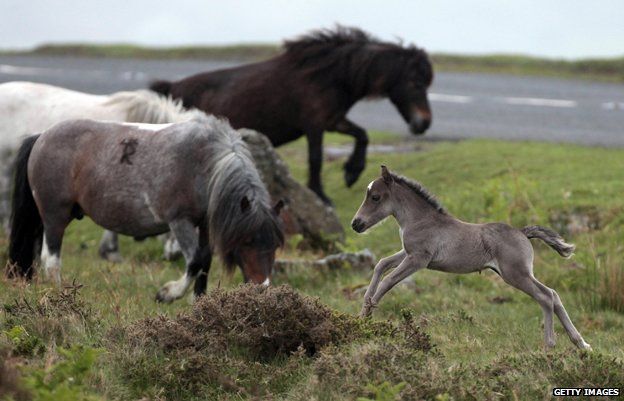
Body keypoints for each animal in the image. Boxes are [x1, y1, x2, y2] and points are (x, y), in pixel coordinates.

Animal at [7, 115, 282, 300]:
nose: (263, 287)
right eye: (247, 240)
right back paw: (62, 297)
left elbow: (205, 263)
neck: (204, 163)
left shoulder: (204, 224)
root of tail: (41, 137)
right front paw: (168, 293)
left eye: (275, 245)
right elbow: (194, 262)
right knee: (51, 260)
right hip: (55, 216)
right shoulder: (179, 221)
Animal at [151, 26, 434, 205]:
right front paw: (321, 195)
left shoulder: (333, 120)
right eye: (416, 82)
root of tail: (172, 89)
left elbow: (361, 135)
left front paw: (351, 172)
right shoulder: (315, 126)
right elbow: (316, 158)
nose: (424, 123)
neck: (329, 75)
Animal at [354, 164, 592, 348]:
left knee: (545, 296)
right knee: (554, 294)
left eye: (375, 197)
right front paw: (364, 310)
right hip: (521, 274)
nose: (356, 224)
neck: (420, 219)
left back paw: (550, 345)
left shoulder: (418, 259)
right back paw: (582, 344)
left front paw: (367, 318)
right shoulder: (407, 252)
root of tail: (522, 232)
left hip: (516, 274)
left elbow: (388, 280)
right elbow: (381, 265)